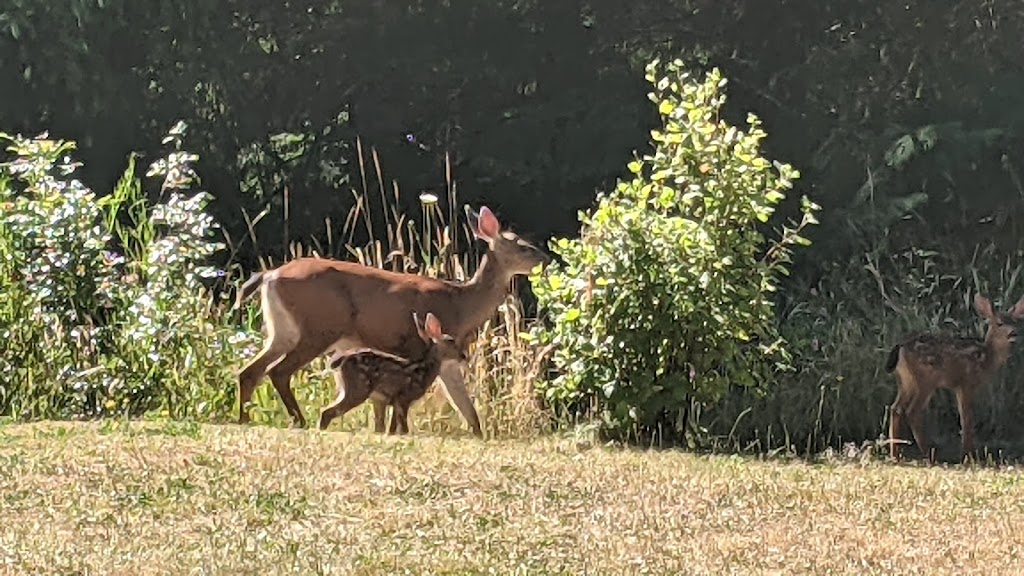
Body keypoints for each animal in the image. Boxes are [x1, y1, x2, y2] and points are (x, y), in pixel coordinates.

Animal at [234, 203, 548, 432]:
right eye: (523, 246)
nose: (546, 258)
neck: (461, 304)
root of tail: (270, 274)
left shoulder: (446, 356)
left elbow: (467, 408)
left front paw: (479, 435)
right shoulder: (417, 345)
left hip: (283, 329)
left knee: (250, 371)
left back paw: (244, 419)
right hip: (319, 327)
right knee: (278, 371)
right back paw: (298, 420)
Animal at [880, 291, 1024, 461]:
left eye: (1016, 322)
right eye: (999, 323)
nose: (1013, 332)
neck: (986, 358)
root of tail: (901, 347)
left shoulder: (959, 387)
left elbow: (963, 417)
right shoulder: (966, 382)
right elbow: (967, 418)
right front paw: (968, 456)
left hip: (905, 381)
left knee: (895, 408)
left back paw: (895, 453)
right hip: (925, 380)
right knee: (912, 411)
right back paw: (928, 454)